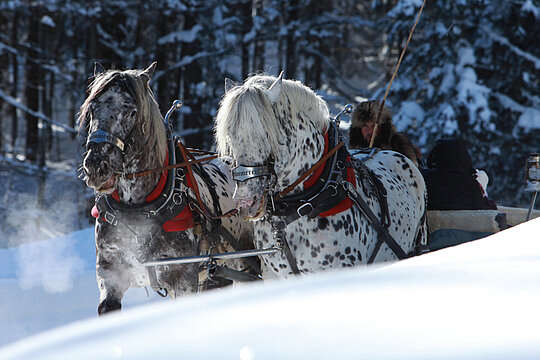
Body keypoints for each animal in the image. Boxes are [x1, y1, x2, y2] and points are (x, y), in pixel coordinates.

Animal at [79, 63, 256, 314]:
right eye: (92, 109)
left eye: (131, 111)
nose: (96, 166)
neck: (138, 210)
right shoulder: (111, 273)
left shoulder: (182, 278)